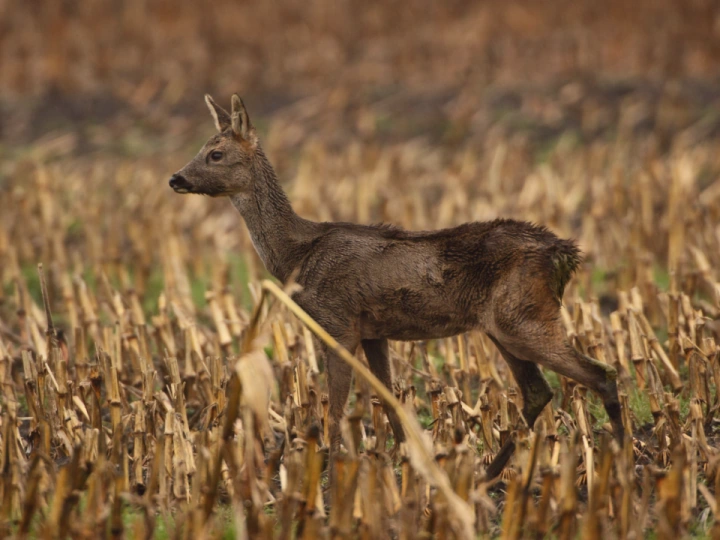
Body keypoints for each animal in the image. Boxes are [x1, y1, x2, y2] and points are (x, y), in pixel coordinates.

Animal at [169, 95, 624, 478]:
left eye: (215, 153)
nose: (176, 178)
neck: (296, 255)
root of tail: (564, 254)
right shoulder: (374, 331)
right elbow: (389, 400)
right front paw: (411, 466)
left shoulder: (338, 322)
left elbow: (336, 408)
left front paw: (329, 475)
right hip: (503, 325)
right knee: (538, 392)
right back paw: (488, 476)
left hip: (524, 318)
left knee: (602, 373)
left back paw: (619, 459)